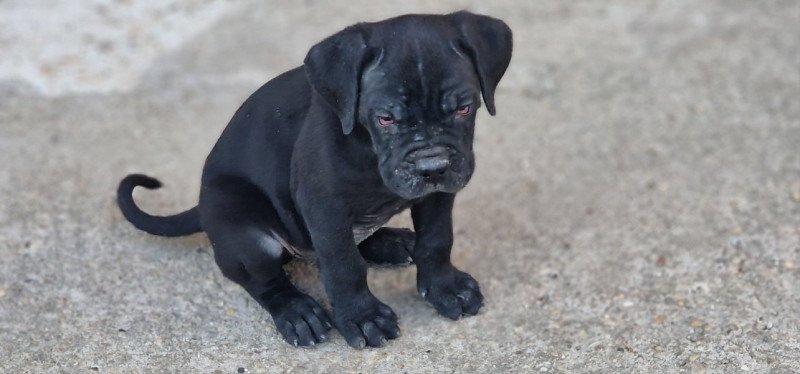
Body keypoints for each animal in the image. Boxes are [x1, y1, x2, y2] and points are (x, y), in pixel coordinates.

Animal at [119, 12, 512, 350]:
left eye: (464, 108)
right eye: (386, 118)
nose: (432, 166)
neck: (368, 149)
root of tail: (201, 206)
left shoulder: (438, 196)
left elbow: (436, 239)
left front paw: (444, 287)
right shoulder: (324, 205)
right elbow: (342, 264)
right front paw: (362, 317)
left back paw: (392, 242)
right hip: (245, 231)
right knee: (264, 282)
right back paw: (297, 313)